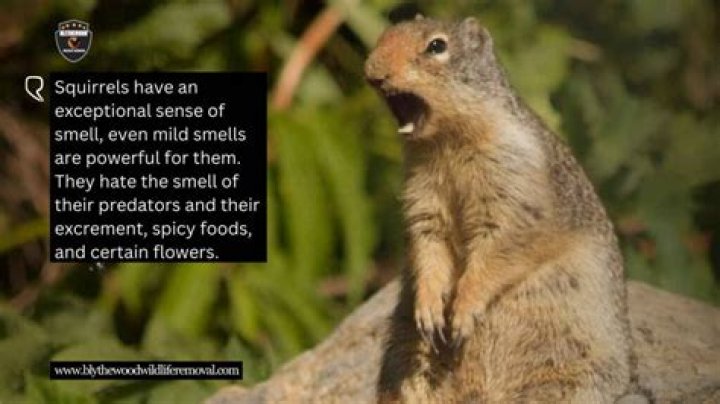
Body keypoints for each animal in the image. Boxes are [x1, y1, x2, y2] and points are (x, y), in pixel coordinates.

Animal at [366, 15, 636, 403]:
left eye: (437, 46)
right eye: (383, 36)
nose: (373, 73)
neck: (446, 143)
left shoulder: (513, 185)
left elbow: (498, 247)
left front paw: (462, 312)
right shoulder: (422, 195)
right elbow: (427, 245)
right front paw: (430, 310)